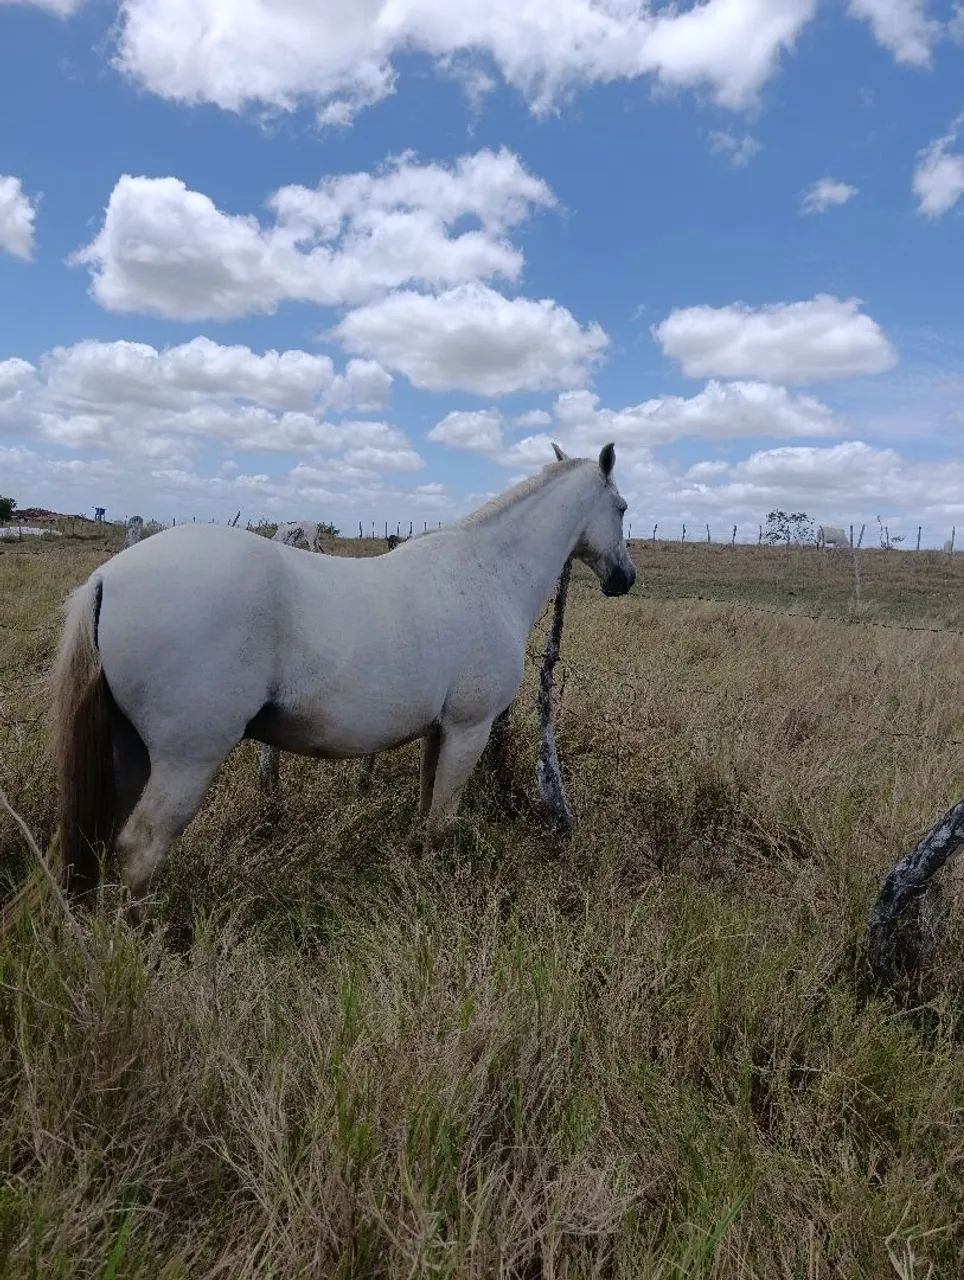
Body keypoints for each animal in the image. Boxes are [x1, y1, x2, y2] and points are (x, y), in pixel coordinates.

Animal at [52, 443, 635, 910]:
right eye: (623, 508)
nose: (624, 579)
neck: (487, 573)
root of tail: (108, 577)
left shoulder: (440, 732)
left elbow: (426, 810)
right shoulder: (469, 730)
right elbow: (440, 823)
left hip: (130, 752)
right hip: (185, 761)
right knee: (141, 849)